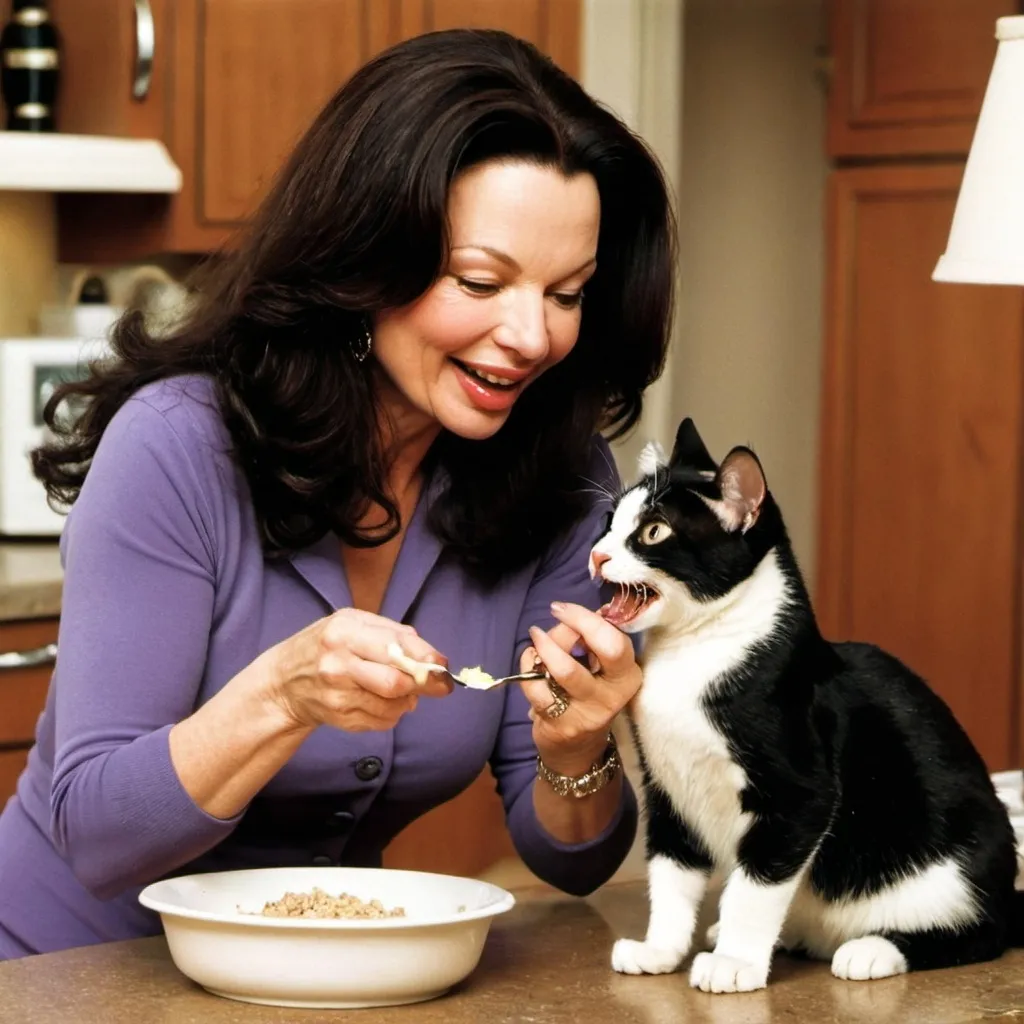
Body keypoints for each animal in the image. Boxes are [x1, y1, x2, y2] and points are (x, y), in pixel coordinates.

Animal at [598, 415, 1019, 991]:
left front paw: (736, 963)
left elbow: (757, 885)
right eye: (609, 522)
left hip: (961, 865)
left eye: (653, 532)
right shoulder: (669, 788)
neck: (693, 656)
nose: (596, 553)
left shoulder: (798, 794)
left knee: (981, 933)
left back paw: (871, 950)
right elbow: (672, 874)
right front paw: (660, 949)